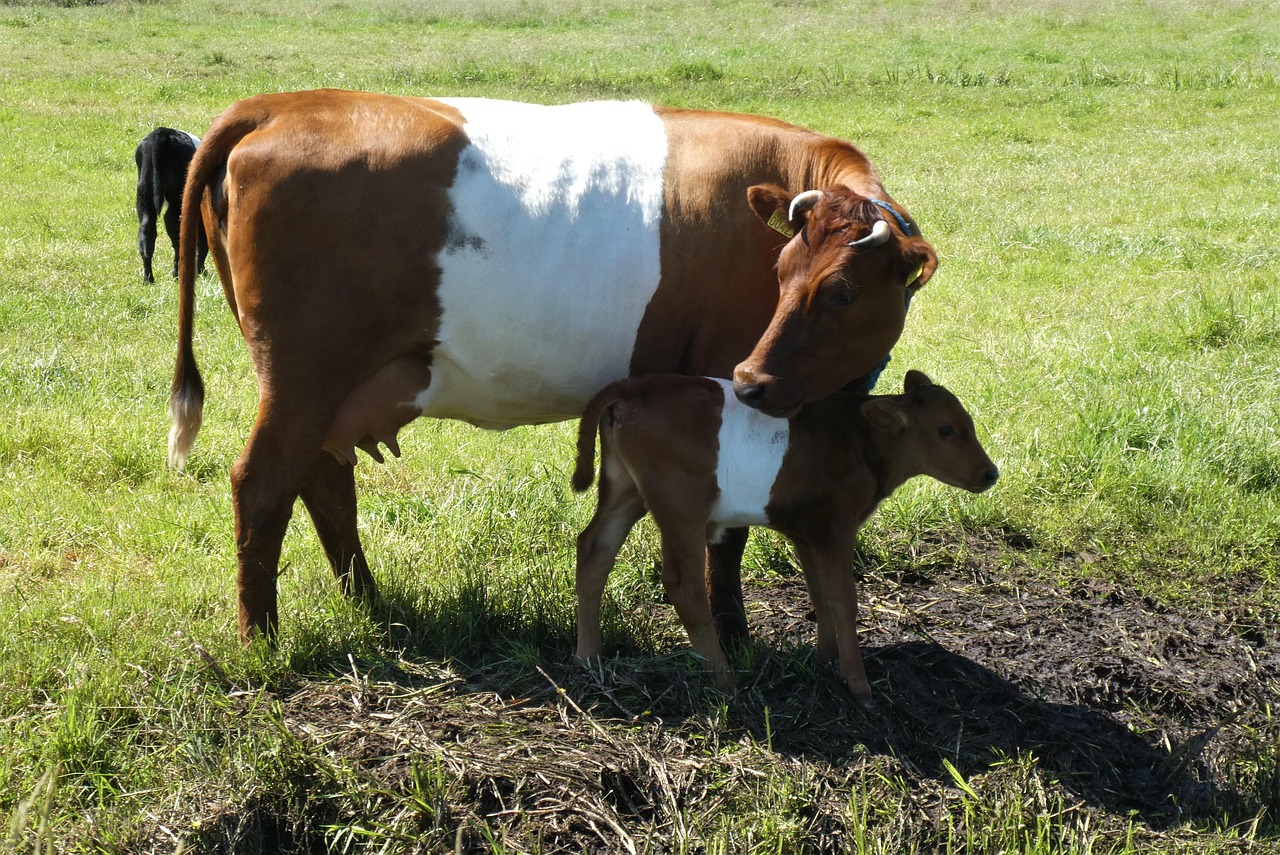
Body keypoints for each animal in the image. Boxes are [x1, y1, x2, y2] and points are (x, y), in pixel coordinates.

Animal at [134, 127, 208, 283]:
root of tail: (162, 133)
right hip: (178, 194)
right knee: (175, 229)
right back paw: (177, 274)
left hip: (144, 192)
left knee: (146, 230)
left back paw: (148, 279)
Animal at [168, 90, 939, 643]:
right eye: (780, 272)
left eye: (842, 291)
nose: (756, 379)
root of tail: (283, 103)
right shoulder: (721, 388)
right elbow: (729, 529)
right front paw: (733, 631)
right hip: (303, 375)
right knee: (264, 482)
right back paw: (262, 640)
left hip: (332, 388)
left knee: (323, 481)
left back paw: (370, 602)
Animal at [571, 370, 999, 702]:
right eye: (946, 430)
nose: (990, 472)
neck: (858, 440)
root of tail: (633, 385)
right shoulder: (836, 527)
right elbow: (844, 601)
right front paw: (859, 684)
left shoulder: (808, 532)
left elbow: (820, 594)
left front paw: (826, 658)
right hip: (680, 506)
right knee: (683, 584)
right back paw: (724, 679)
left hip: (625, 488)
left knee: (594, 549)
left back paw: (589, 655)